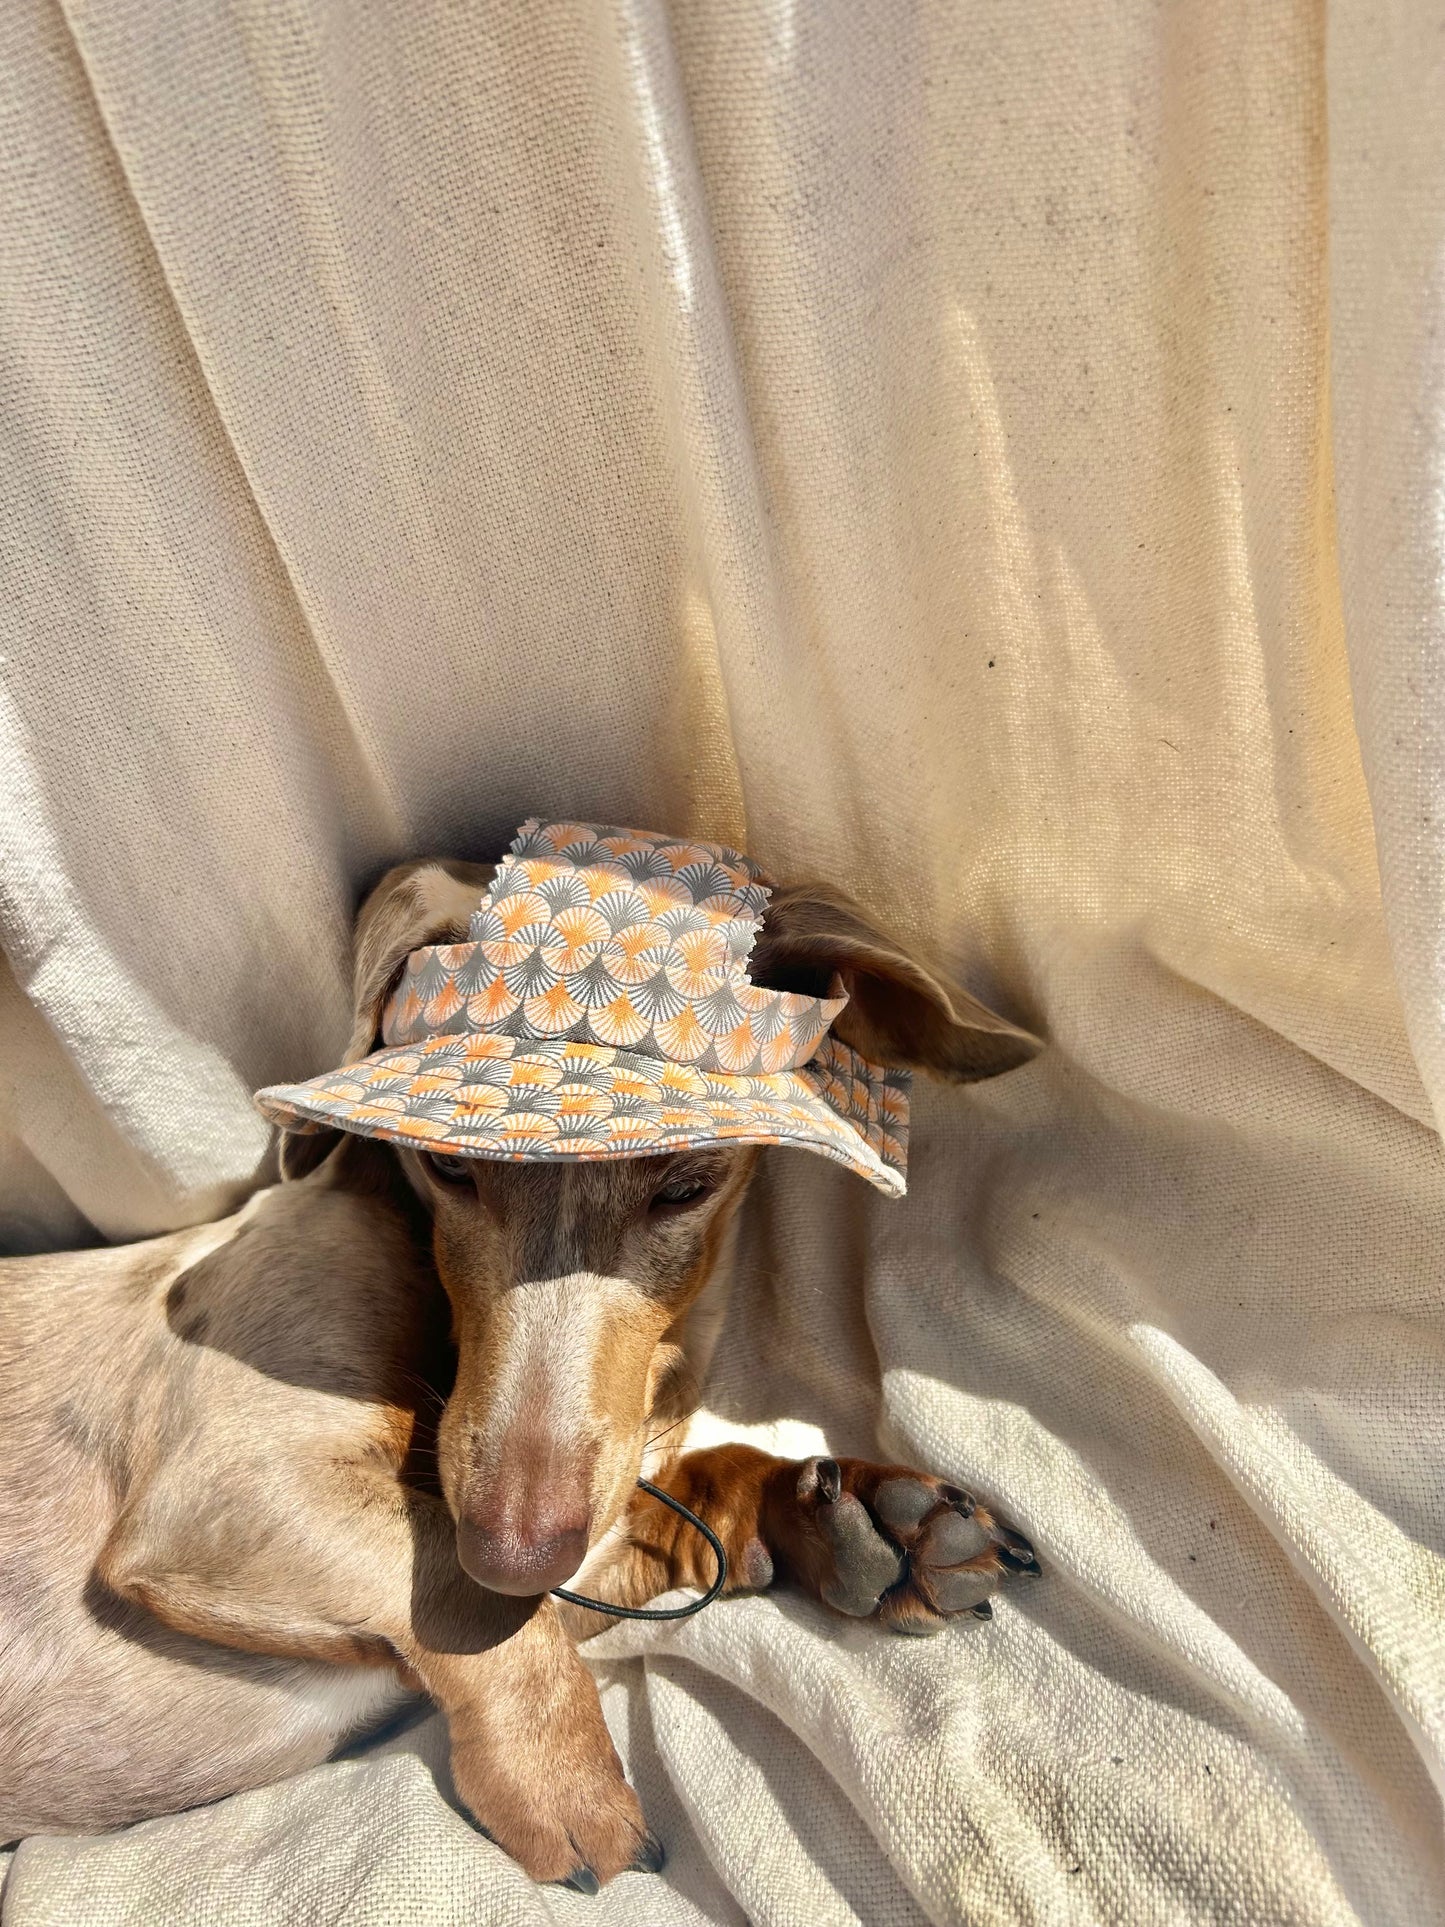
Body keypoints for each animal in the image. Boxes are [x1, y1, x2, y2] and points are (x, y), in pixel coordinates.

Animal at [0, 836, 1040, 1888]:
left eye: (688, 1184)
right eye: (449, 1166)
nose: (516, 1551)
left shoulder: (581, 1543)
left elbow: (681, 1503)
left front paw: (852, 1512)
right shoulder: (231, 1483)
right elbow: (462, 1593)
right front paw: (563, 1778)